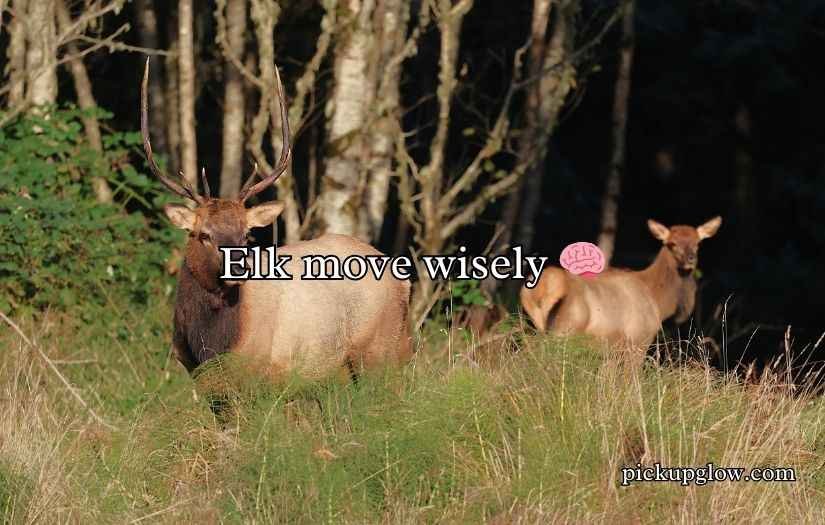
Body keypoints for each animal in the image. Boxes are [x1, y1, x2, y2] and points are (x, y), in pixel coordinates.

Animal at [140, 59, 412, 382]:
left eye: (246, 235)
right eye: (204, 234)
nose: (237, 268)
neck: (211, 345)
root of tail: (404, 281)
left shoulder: (267, 372)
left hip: (380, 350)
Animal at [520, 217, 722, 350]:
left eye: (698, 243)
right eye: (672, 243)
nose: (690, 259)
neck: (658, 301)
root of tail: (542, 290)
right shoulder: (639, 337)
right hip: (566, 328)